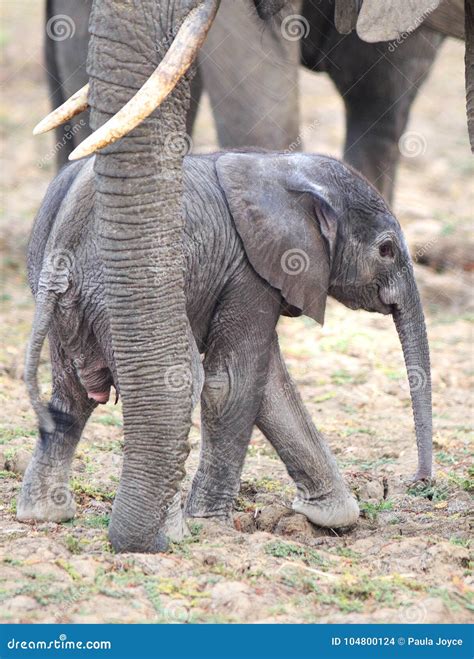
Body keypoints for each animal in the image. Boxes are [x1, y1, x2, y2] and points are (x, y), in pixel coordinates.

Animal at [18, 152, 434, 544]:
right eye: (386, 250)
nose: (419, 483)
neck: (279, 166)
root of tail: (62, 249)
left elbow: (270, 387)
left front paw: (328, 518)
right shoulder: (250, 270)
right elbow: (232, 383)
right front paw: (210, 525)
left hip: (69, 306)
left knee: (72, 395)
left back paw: (44, 515)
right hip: (122, 299)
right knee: (175, 382)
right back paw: (169, 533)